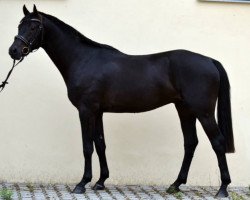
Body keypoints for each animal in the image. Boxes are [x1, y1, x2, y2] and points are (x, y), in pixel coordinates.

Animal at [7, 5, 234, 198]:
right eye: (19, 25)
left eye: (34, 27)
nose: (14, 51)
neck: (83, 59)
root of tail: (210, 61)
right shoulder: (98, 111)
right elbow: (100, 144)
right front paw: (100, 181)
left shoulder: (85, 110)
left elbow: (87, 146)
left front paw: (82, 183)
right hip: (185, 110)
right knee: (190, 143)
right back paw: (175, 184)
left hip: (203, 112)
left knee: (217, 142)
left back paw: (222, 188)